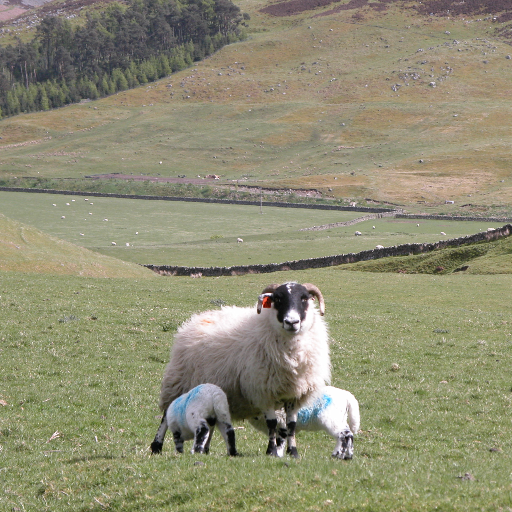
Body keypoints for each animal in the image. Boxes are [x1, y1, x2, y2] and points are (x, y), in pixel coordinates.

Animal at [151, 282, 332, 458]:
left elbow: (291, 424)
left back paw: (205, 449)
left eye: (304, 298)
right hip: (179, 382)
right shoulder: (262, 390)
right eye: (278, 299)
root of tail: (198, 317)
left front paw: (293, 452)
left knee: (211, 420)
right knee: (166, 415)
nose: (292, 322)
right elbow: (272, 424)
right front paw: (272, 451)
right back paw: (156, 446)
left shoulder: (295, 394)